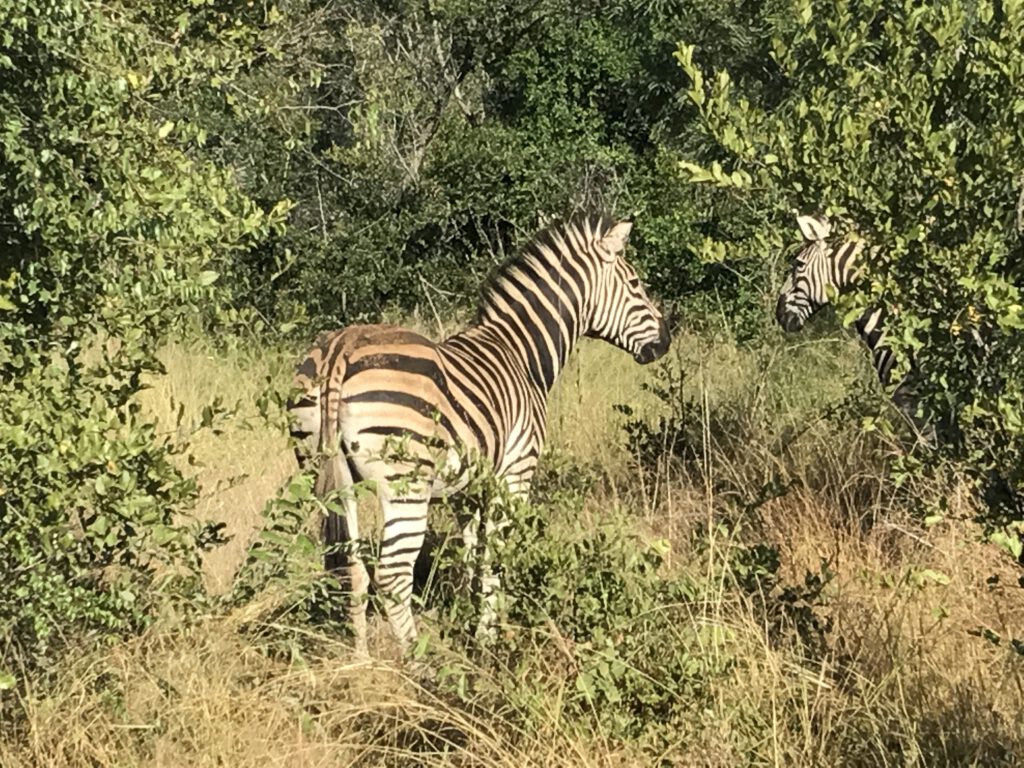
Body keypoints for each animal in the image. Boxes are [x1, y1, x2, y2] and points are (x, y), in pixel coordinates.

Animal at [288, 212, 671, 656]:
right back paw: (418, 664)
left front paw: (473, 634)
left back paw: (362, 663)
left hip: (326, 478)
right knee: (393, 576)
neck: (523, 354)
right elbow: (495, 556)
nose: (666, 341)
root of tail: (341, 348)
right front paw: (491, 641)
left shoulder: (467, 488)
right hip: (405, 483)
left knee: (348, 571)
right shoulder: (515, 472)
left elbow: (473, 555)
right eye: (636, 284)